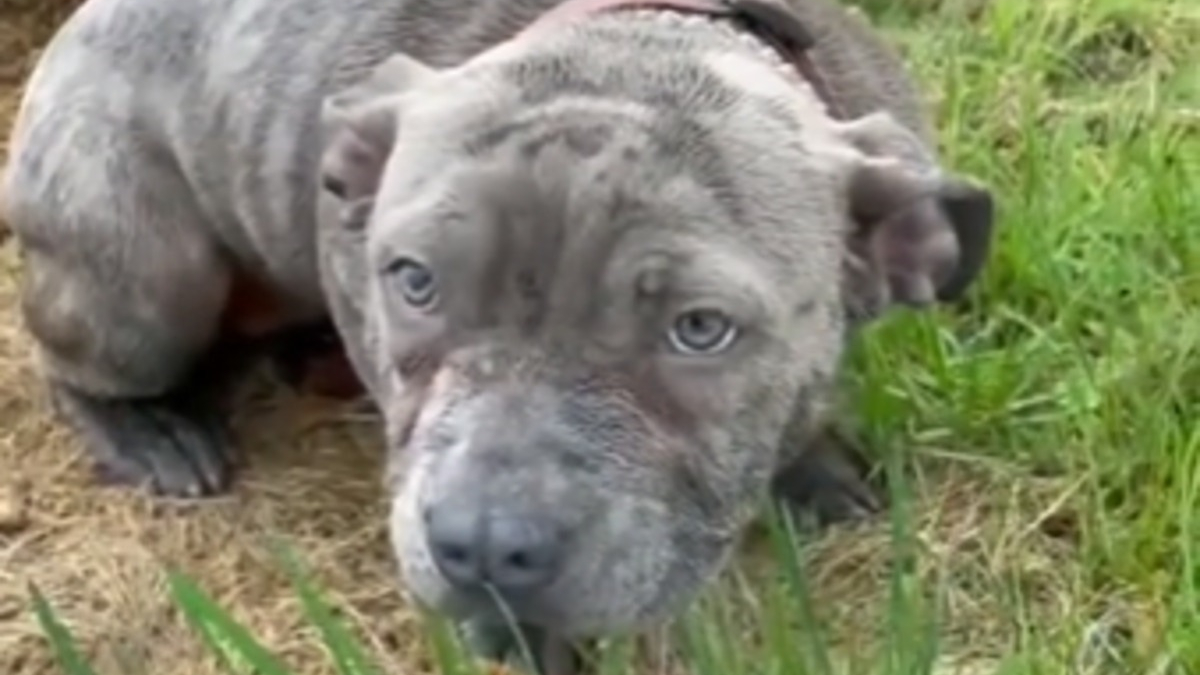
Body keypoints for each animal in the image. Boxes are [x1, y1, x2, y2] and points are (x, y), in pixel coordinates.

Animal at [0, 0, 993, 667]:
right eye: (414, 280)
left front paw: (813, 462)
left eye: (701, 329)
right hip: (145, 269)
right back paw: (151, 430)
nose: (479, 546)